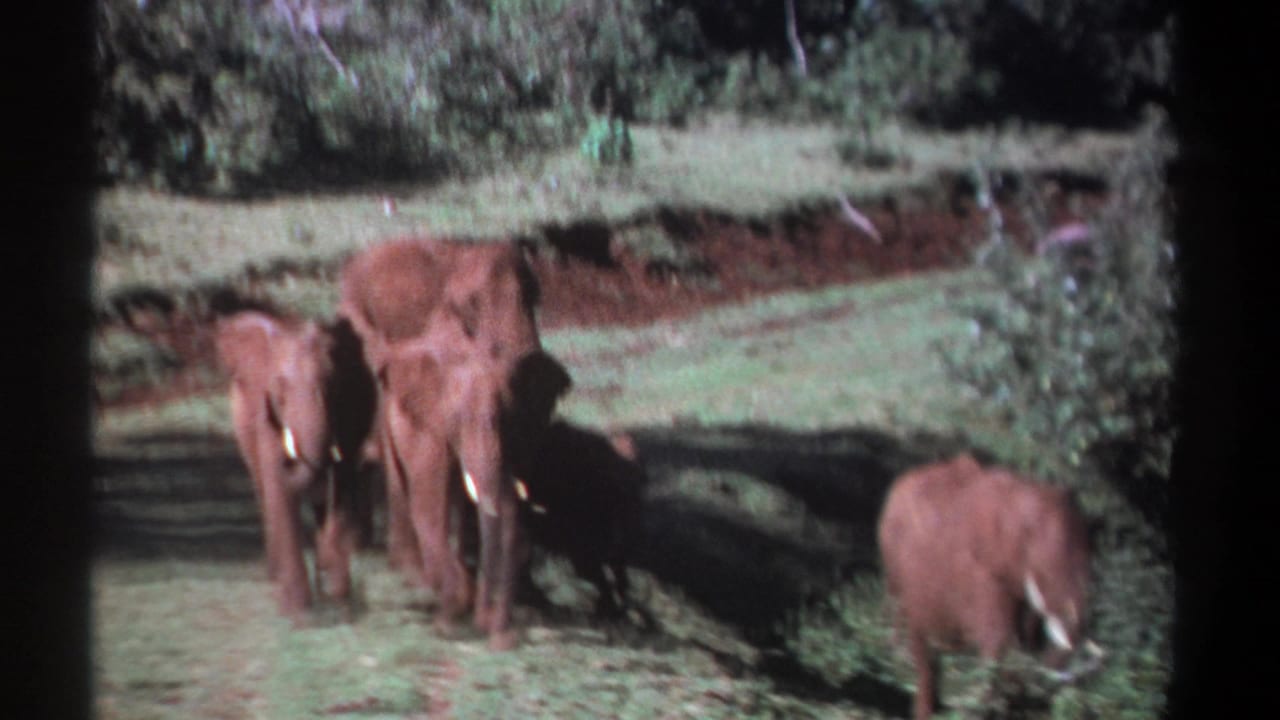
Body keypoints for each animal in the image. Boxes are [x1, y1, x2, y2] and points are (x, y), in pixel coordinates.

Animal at [215, 310, 377, 620]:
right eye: (279, 389)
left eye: (331, 384)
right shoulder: (264, 413)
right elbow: (276, 480)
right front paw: (298, 615)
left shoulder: (350, 412)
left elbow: (341, 478)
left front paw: (338, 599)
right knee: (262, 486)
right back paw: (277, 575)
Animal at [338, 238, 569, 649]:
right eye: (469, 308)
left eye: (537, 298)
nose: (499, 633)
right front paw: (456, 599)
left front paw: (526, 609)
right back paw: (408, 572)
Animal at [876, 454, 1094, 720]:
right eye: (1028, 541)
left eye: (1088, 552)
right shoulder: (980, 570)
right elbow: (998, 639)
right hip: (897, 570)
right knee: (922, 649)